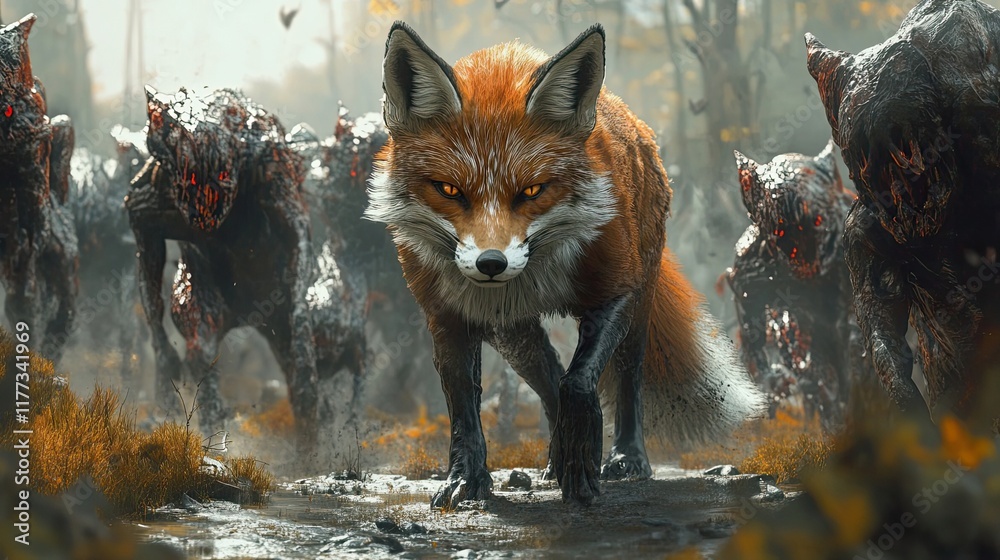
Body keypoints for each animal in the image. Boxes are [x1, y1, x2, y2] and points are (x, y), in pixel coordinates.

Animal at [365, 22, 766, 506]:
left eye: (533, 191)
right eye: (449, 190)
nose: (491, 263)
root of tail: (634, 122)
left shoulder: (616, 290)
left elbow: (578, 384)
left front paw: (581, 463)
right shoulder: (447, 315)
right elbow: (464, 406)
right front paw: (468, 478)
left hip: (640, 300)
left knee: (623, 377)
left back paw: (625, 458)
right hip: (509, 332)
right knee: (548, 372)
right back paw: (557, 456)